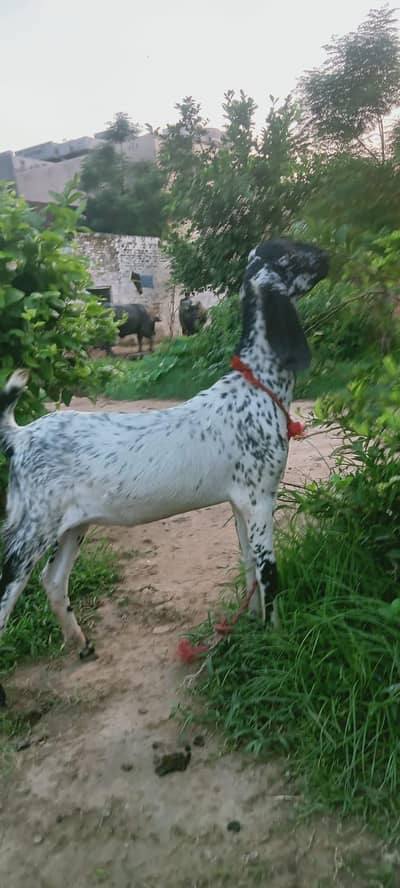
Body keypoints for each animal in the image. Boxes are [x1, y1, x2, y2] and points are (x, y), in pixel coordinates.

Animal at [0, 239, 328, 706]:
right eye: (291, 255)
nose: (328, 256)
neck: (256, 387)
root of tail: (20, 436)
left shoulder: (240, 500)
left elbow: (249, 565)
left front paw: (249, 628)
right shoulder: (260, 498)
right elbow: (269, 574)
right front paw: (275, 641)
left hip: (70, 526)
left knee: (53, 581)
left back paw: (82, 645)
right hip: (30, 529)